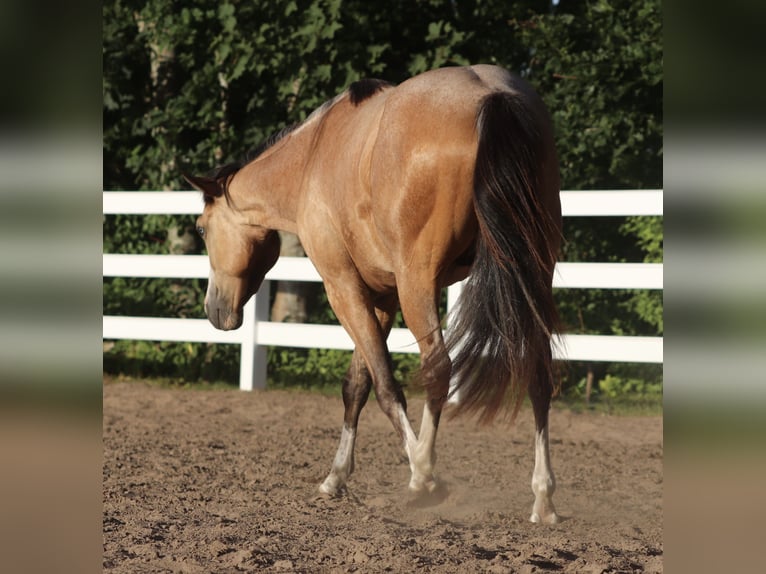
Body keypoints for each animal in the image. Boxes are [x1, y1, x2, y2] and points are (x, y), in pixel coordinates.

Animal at [185, 64, 563, 524]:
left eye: (202, 230)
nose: (214, 309)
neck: (312, 157)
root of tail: (491, 96)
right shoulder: (382, 297)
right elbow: (357, 385)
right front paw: (335, 478)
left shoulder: (343, 286)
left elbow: (385, 385)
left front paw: (422, 472)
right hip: (533, 273)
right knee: (539, 376)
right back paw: (543, 497)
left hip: (419, 284)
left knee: (438, 368)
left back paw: (423, 475)